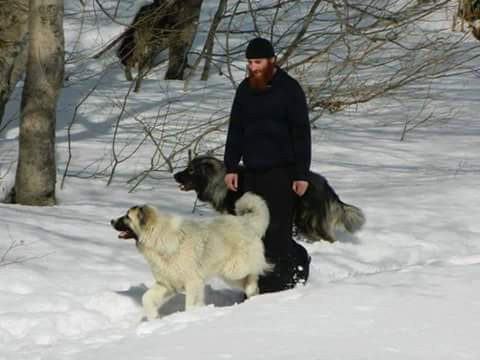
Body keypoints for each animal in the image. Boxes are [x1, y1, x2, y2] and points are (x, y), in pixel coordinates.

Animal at [110, 193, 272, 320]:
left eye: (127, 217)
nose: (111, 221)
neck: (159, 237)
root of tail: (246, 221)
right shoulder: (167, 284)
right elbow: (146, 298)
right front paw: (154, 318)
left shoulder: (193, 281)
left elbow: (190, 305)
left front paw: (192, 316)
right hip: (230, 274)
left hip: (233, 269)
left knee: (254, 272)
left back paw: (253, 287)